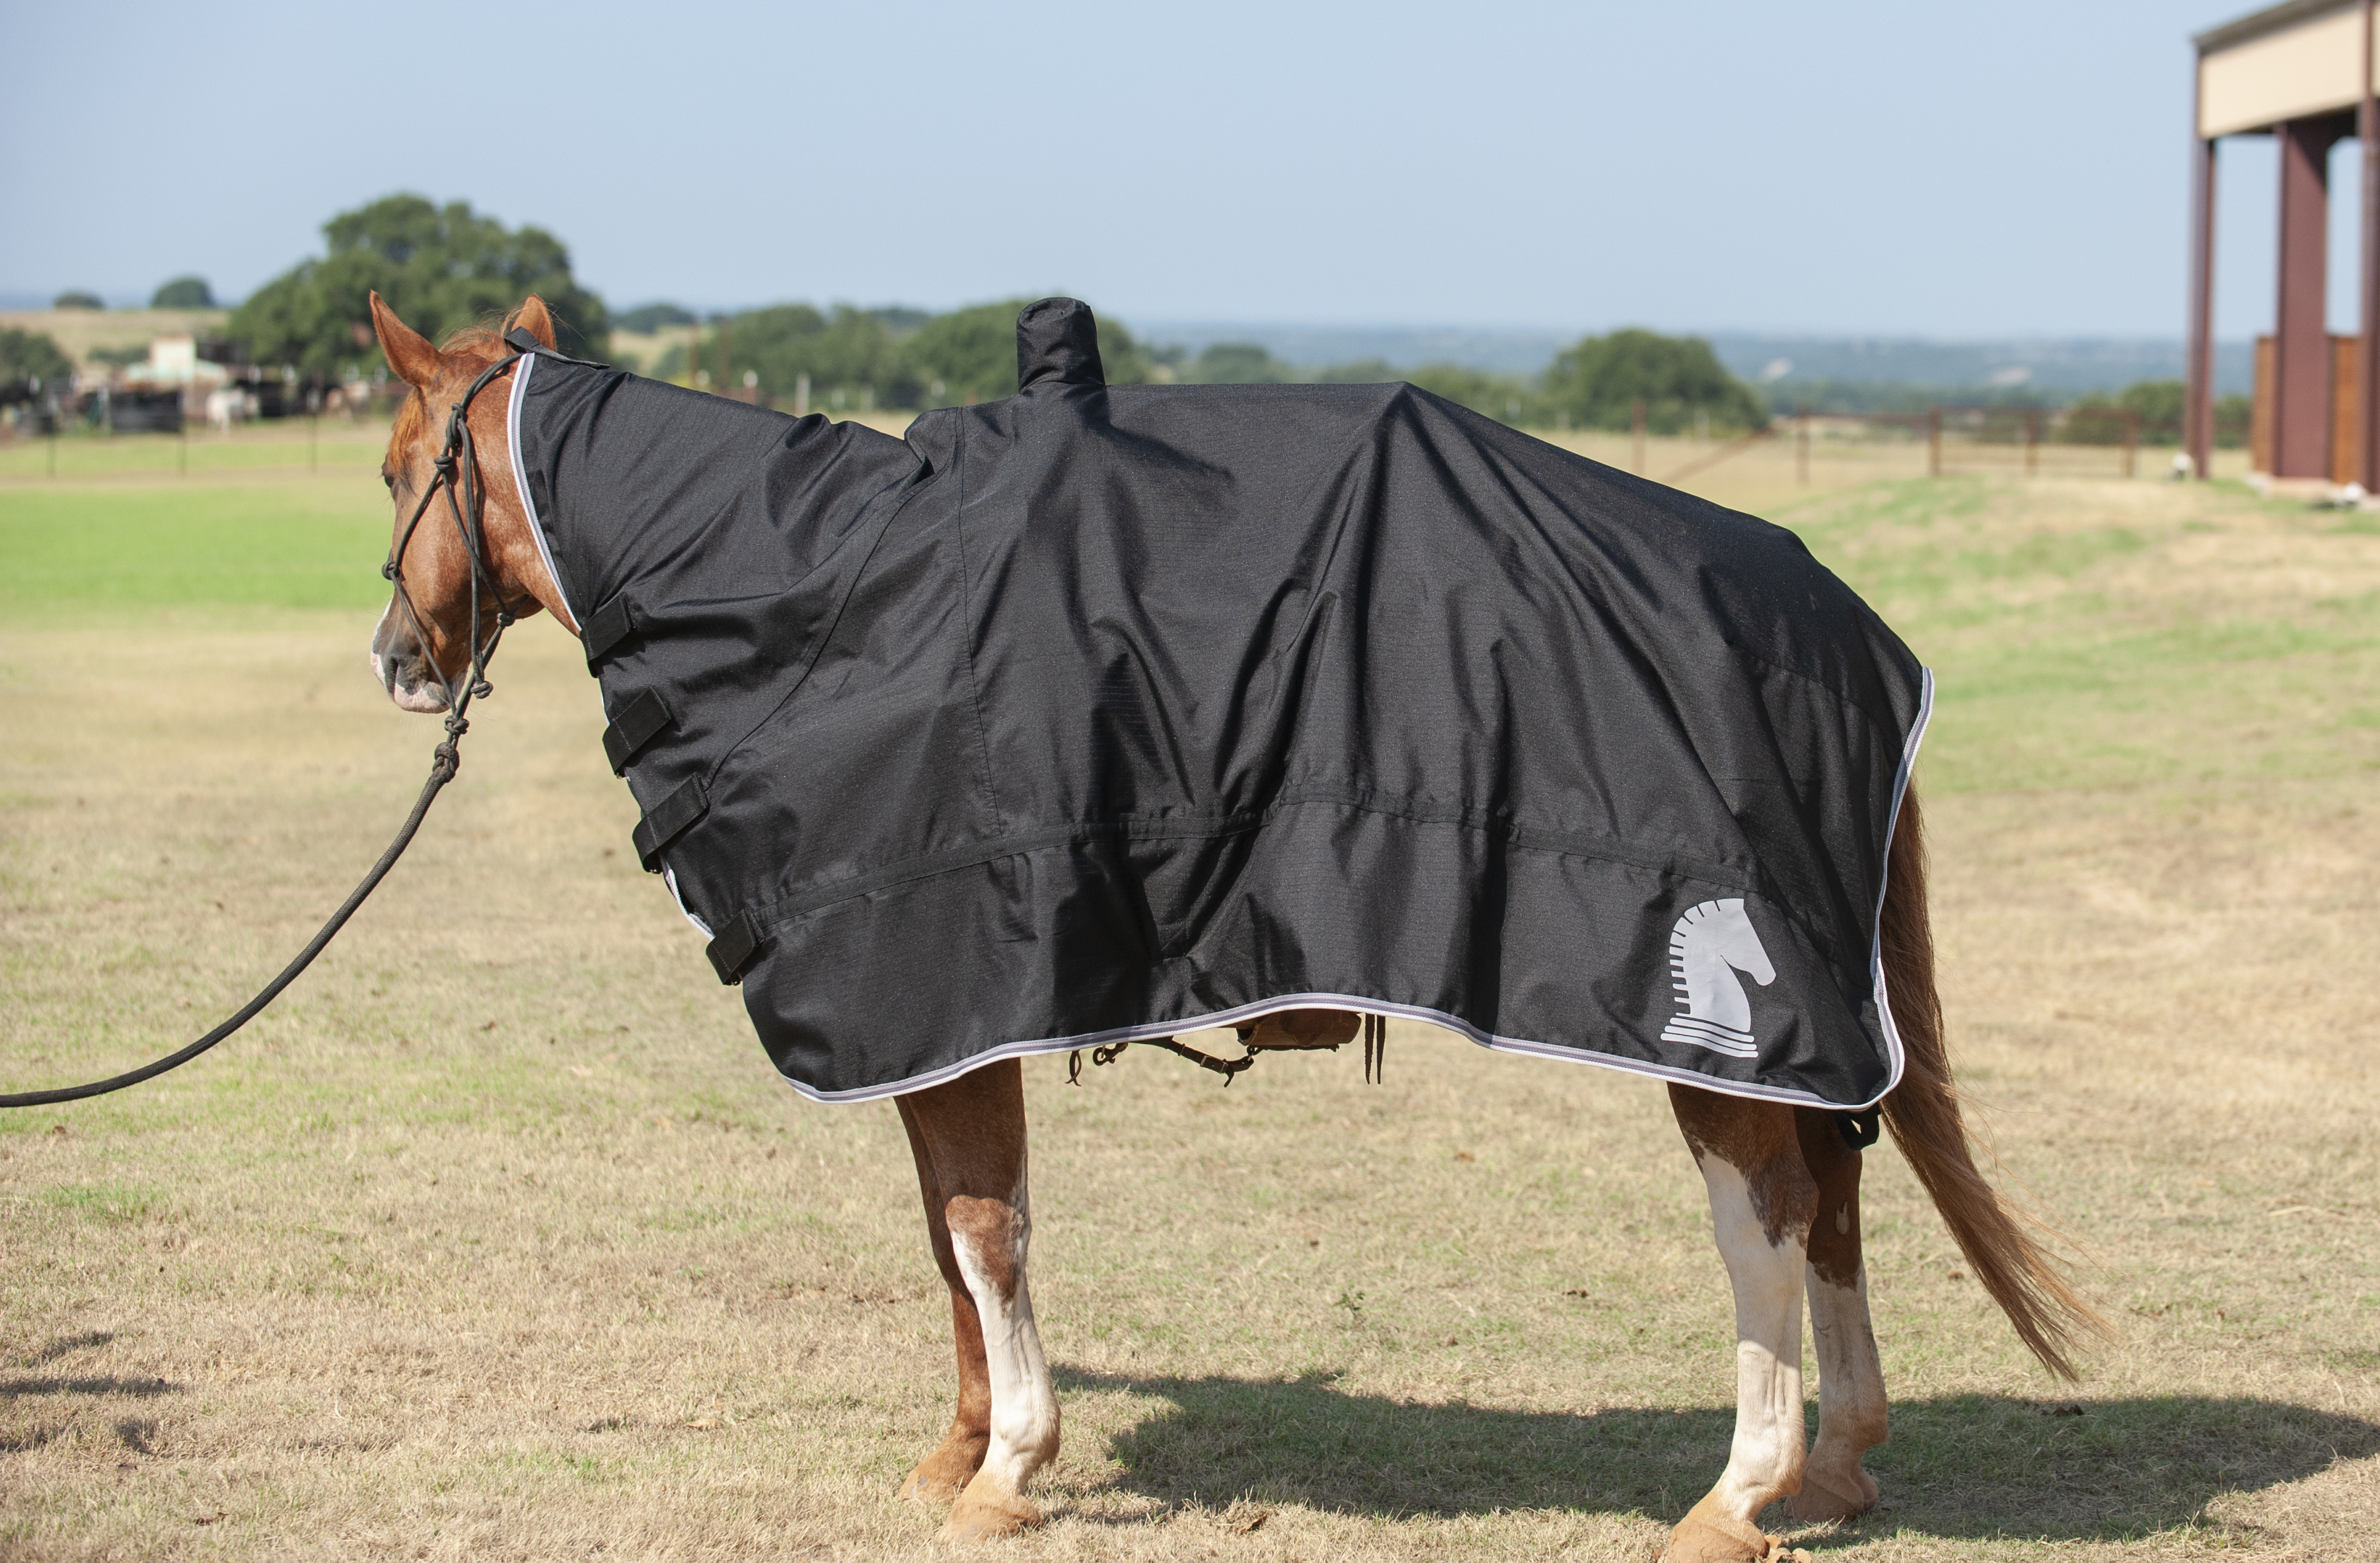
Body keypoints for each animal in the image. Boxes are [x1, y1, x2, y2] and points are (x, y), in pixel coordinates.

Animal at [364, 292, 2096, 1562]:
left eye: (395, 467)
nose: (395, 656)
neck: (820, 599)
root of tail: (1839, 622)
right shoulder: (930, 1023)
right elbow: (947, 1234)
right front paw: (956, 1446)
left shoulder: (951, 993)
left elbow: (982, 1231)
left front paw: (1007, 1462)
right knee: (1836, 1193)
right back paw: (1835, 1467)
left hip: (1716, 1014)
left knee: (1768, 1218)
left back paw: (1738, 1493)